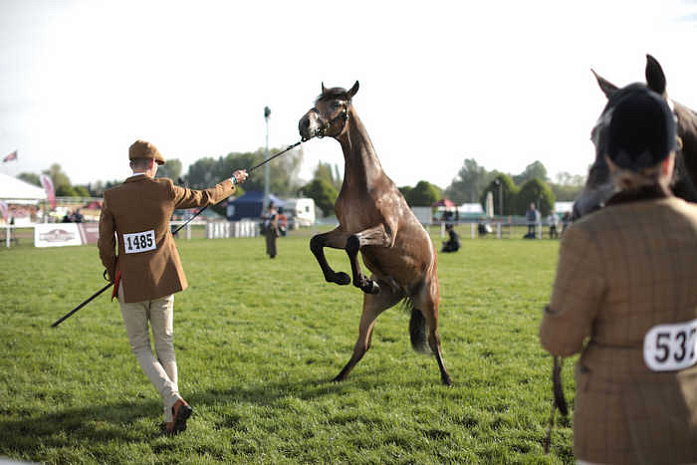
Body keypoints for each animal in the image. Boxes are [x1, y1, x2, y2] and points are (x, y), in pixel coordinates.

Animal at [298, 80, 452, 384]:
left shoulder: (385, 234)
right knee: (363, 344)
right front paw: (343, 277)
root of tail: (404, 292)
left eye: (338, 104)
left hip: (430, 301)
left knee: (434, 339)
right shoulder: (343, 229)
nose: (304, 124)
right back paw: (339, 377)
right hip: (373, 306)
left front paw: (360, 280)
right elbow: (317, 242)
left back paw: (447, 378)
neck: (365, 185)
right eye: (317, 102)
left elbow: (354, 244)